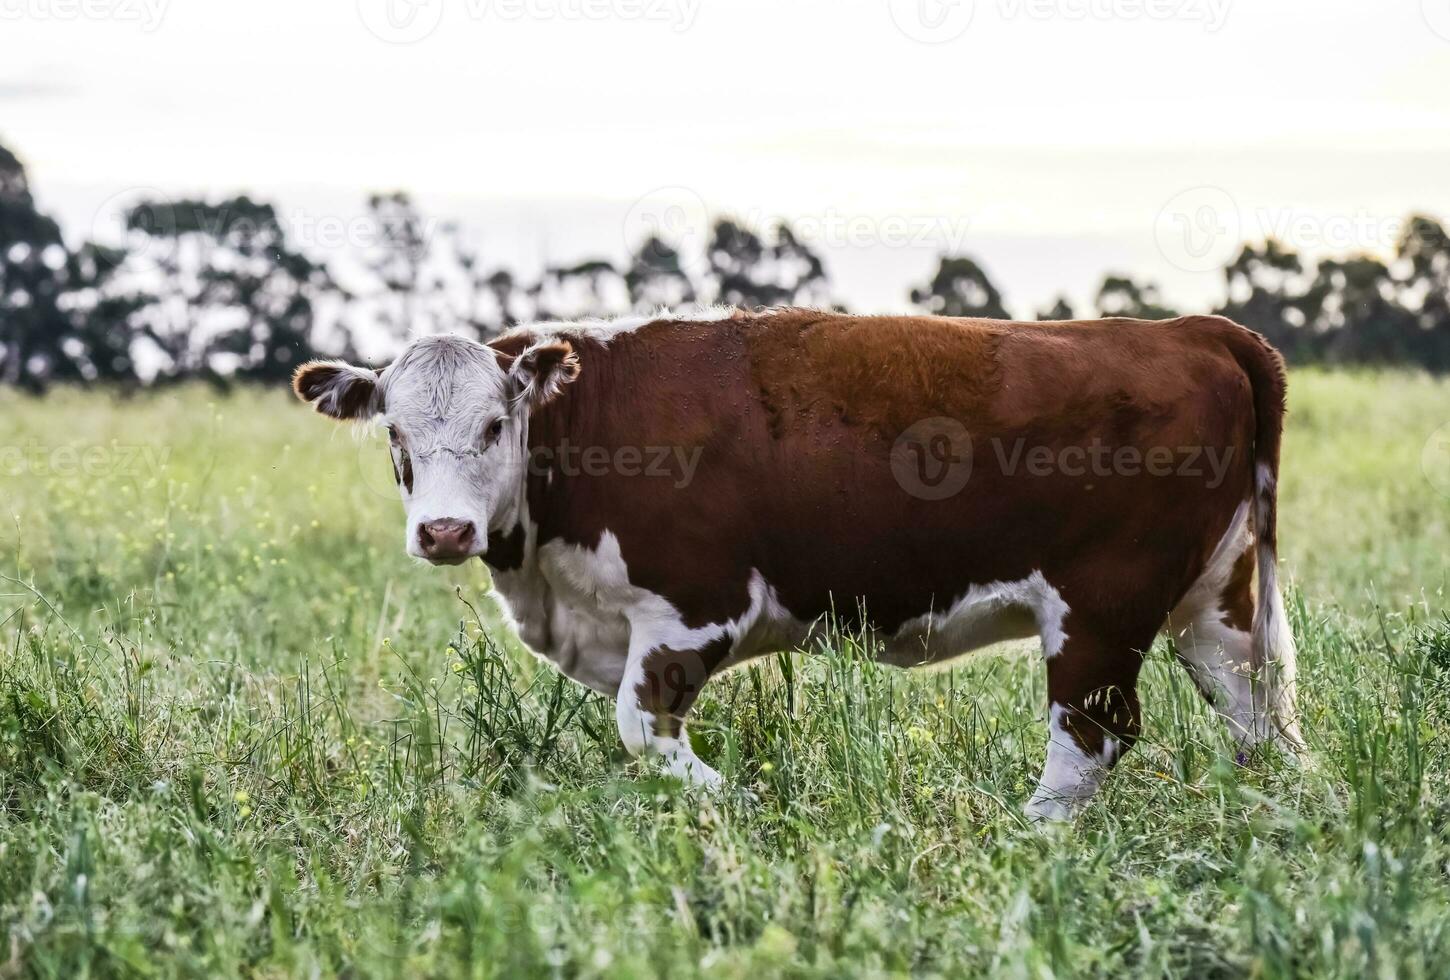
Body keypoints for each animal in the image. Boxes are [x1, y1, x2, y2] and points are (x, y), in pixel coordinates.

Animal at [291, 308, 1305, 817]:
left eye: (495, 425)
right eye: (396, 435)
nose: (445, 532)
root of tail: (1191, 327)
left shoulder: (694, 605)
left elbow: (642, 730)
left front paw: (747, 804)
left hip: (1099, 605)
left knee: (1094, 733)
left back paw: (1029, 831)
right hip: (1218, 600)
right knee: (1262, 714)